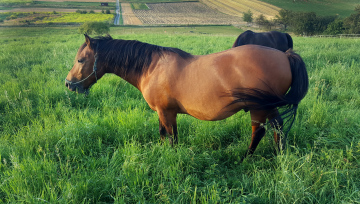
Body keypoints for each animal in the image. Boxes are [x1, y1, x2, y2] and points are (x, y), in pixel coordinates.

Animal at [65, 35, 310, 159]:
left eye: (80, 60)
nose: (68, 84)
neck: (152, 67)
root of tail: (285, 56)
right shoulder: (164, 113)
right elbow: (163, 134)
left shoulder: (166, 112)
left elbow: (171, 137)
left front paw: (172, 158)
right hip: (269, 107)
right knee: (277, 127)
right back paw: (279, 155)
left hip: (259, 108)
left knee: (258, 131)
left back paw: (246, 158)